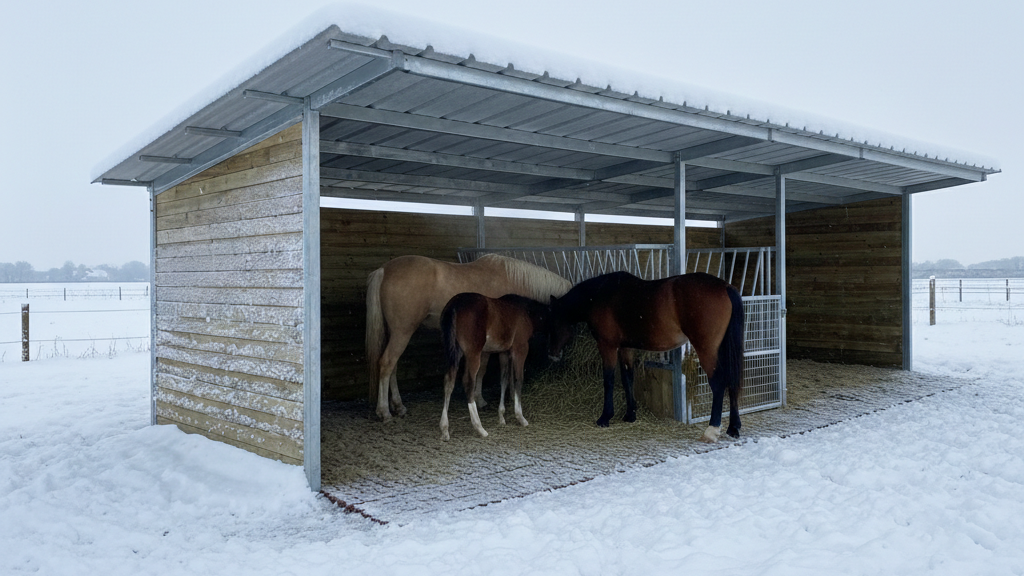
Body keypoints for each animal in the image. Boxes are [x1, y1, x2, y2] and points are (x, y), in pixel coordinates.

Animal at [366, 254, 571, 422]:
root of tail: (383, 270)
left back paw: (398, 406)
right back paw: (384, 411)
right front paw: (482, 399)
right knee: (387, 363)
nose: (556, 355)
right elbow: (485, 370)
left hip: (396, 332)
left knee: (393, 366)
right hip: (402, 332)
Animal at [439, 293, 549, 441]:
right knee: (468, 382)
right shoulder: (520, 348)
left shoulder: (504, 352)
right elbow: (518, 379)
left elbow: (504, 379)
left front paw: (502, 416)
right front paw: (520, 417)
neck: (526, 312)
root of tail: (454, 305)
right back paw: (479, 428)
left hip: (454, 352)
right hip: (473, 353)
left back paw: (445, 429)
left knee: (448, 381)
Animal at [547, 271, 745, 443]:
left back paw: (711, 430)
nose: (552, 355)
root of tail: (725, 286)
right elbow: (627, 378)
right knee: (732, 381)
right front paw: (630, 415)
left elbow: (608, 380)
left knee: (718, 382)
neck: (599, 295)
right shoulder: (626, 348)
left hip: (707, 350)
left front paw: (605, 418)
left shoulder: (607, 346)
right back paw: (733, 427)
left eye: (551, 322)